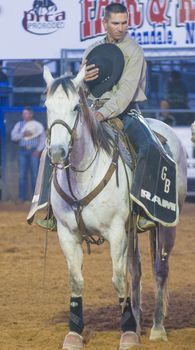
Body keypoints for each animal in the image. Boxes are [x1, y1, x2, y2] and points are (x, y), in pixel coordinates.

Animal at [43, 66, 187, 350]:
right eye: (47, 106)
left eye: (76, 107)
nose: (57, 152)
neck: (83, 176)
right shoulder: (67, 234)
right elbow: (76, 281)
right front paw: (74, 334)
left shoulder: (116, 231)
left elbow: (118, 279)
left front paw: (128, 334)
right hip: (132, 231)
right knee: (137, 270)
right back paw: (139, 322)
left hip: (166, 227)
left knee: (160, 270)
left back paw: (156, 328)